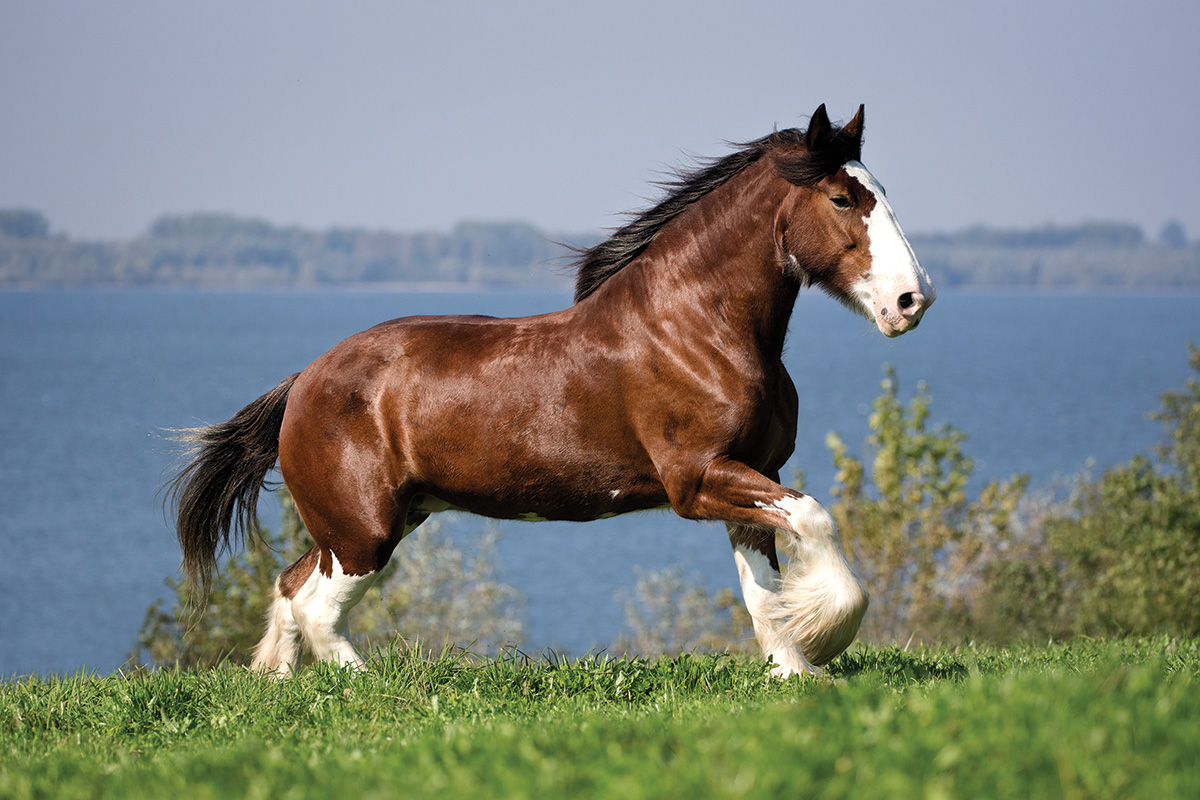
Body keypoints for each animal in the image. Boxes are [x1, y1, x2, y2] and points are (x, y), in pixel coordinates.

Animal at [171, 104, 936, 676]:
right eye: (841, 197)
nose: (912, 301)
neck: (698, 328)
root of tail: (302, 382)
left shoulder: (751, 473)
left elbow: (762, 590)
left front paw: (794, 672)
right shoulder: (697, 479)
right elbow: (816, 519)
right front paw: (827, 638)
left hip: (375, 520)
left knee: (291, 585)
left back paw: (276, 683)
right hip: (365, 529)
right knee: (317, 608)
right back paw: (365, 690)